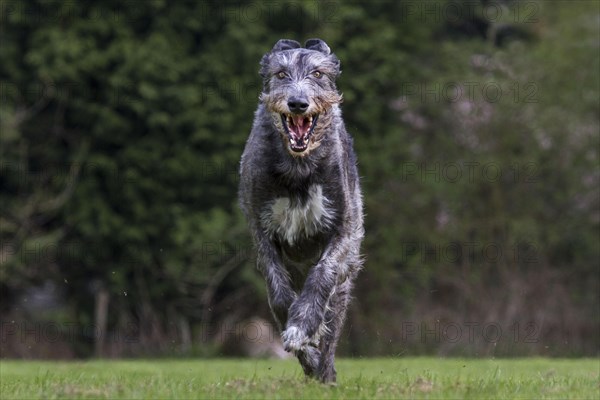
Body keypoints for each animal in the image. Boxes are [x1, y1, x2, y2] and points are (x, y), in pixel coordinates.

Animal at [238, 38, 360, 384]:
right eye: (280, 73)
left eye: (318, 73)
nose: (297, 103)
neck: (298, 168)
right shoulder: (262, 231)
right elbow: (278, 295)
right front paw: (303, 348)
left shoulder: (342, 228)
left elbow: (322, 275)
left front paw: (303, 327)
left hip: (345, 278)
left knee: (332, 322)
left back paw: (325, 372)